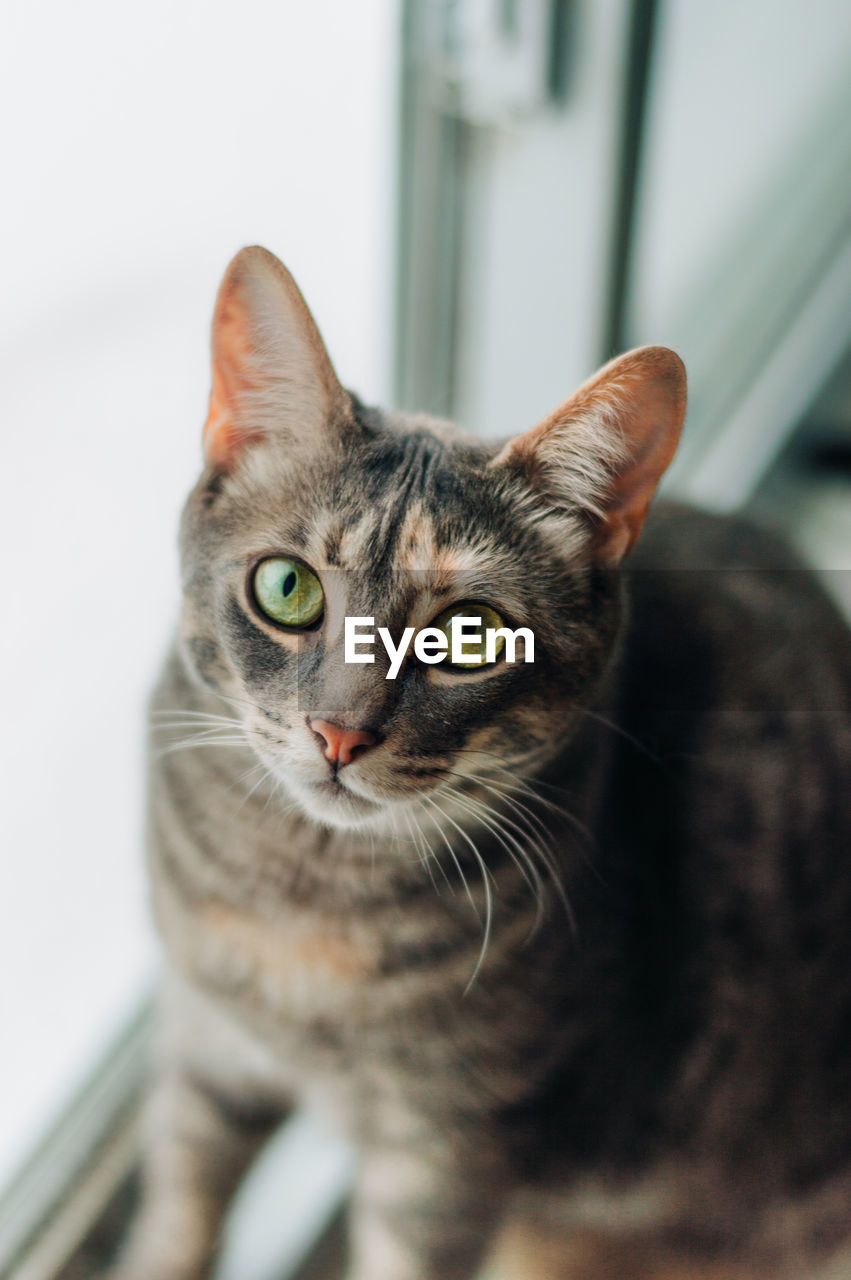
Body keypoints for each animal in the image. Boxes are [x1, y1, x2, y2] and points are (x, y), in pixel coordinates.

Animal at [106, 241, 849, 1280]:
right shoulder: (206, 1047)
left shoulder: (445, 1155)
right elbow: (177, 1214)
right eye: (287, 587)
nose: (340, 734)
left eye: (468, 637)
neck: (303, 904)